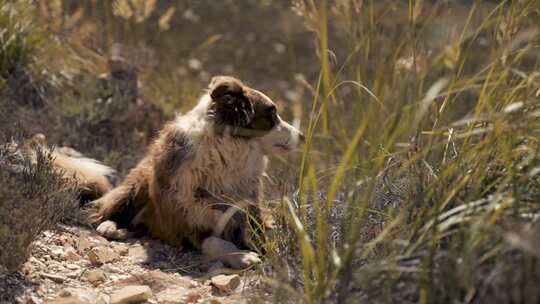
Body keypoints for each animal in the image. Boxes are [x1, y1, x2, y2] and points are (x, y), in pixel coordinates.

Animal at [86, 76, 302, 268]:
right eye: (272, 114)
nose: (302, 136)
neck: (222, 155)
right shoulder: (186, 220)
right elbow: (214, 241)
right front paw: (241, 256)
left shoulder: (248, 206)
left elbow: (262, 230)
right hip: (137, 184)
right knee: (108, 209)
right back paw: (110, 227)